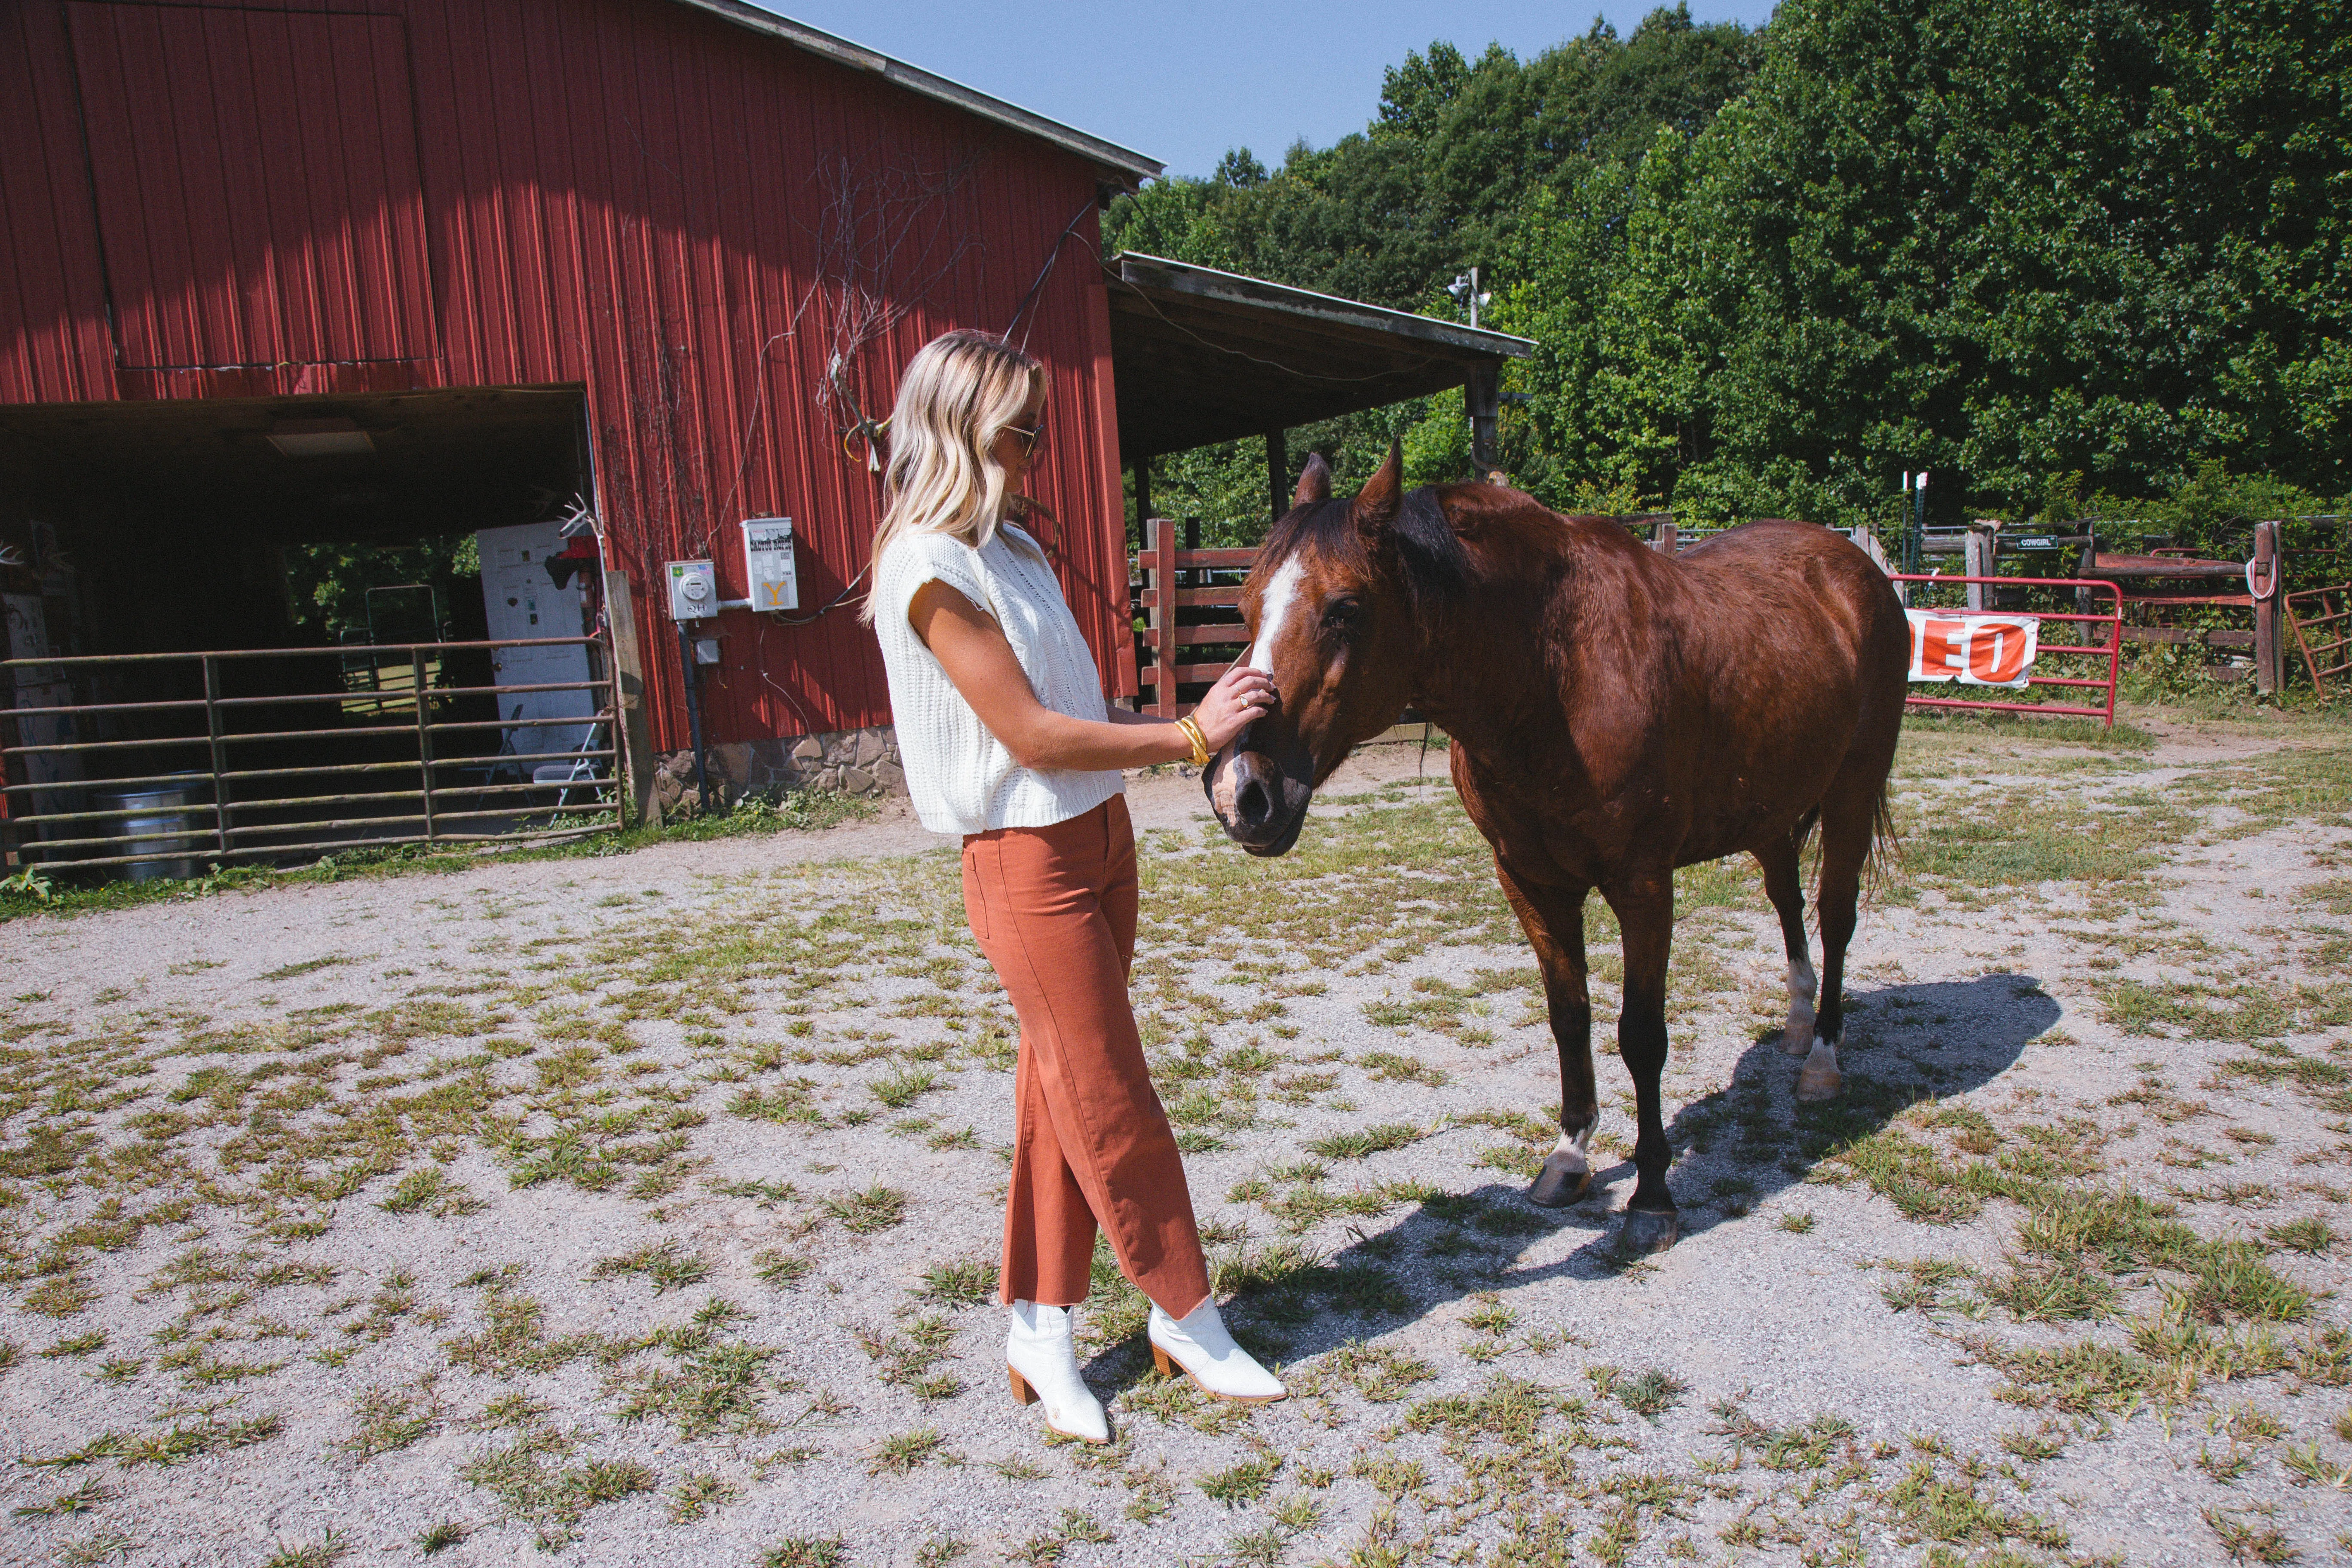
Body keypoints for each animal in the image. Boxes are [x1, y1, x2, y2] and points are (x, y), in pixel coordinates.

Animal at [1204, 447, 1900, 1260]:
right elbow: (1569, 1015)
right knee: (1787, 900)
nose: (1242, 792)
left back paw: (1821, 1060)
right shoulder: (1530, 880)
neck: (1554, 675)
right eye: (1245, 608)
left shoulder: (1642, 884)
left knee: (1834, 916)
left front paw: (1652, 1198)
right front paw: (1569, 1157)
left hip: (1851, 794)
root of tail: (1852, 564)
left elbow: (1641, 1035)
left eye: (1345, 608)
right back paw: (1794, 1027)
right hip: (1770, 808)